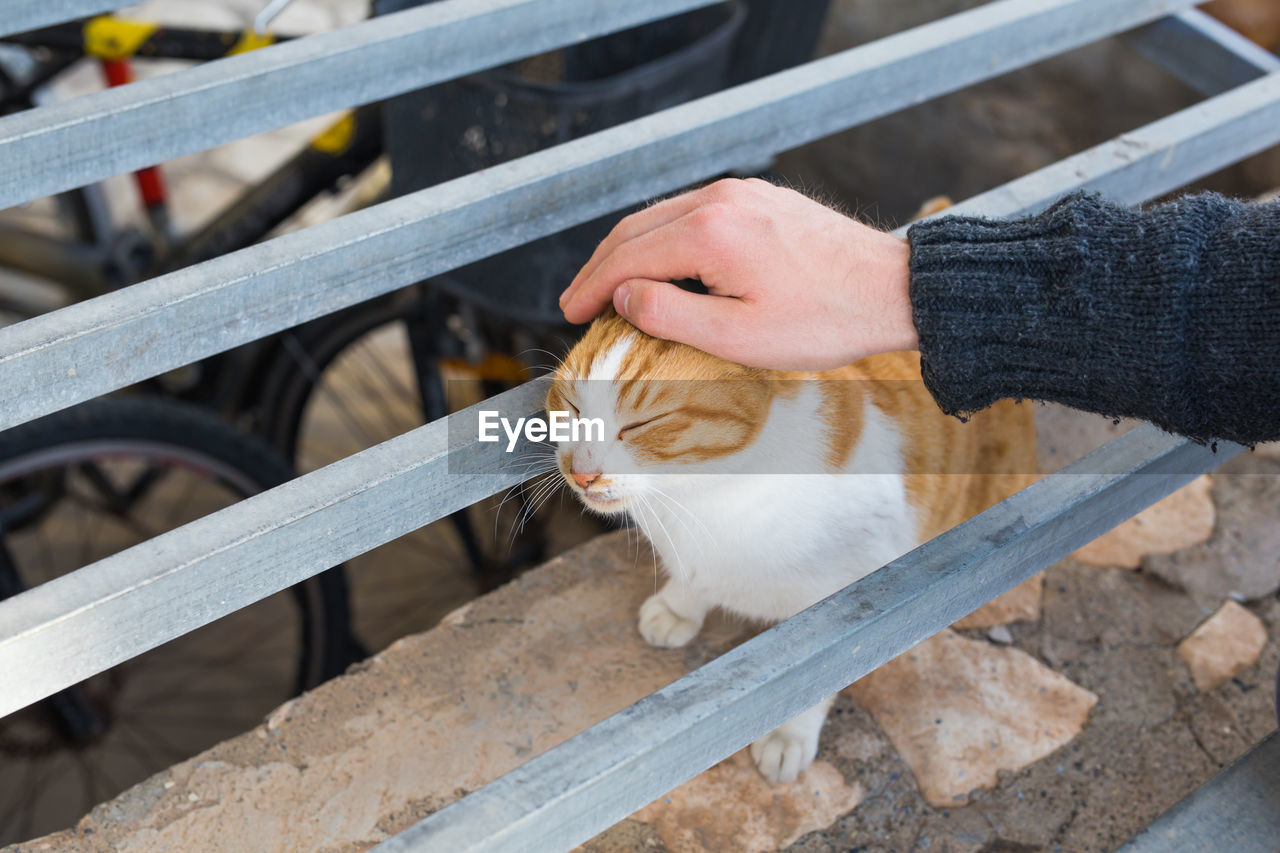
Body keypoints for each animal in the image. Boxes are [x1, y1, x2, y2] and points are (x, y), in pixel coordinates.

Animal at [545, 308, 1034, 778]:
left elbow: (812, 676)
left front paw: (788, 736)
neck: (701, 501)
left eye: (641, 424)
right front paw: (678, 606)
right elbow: (691, 580)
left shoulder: (846, 605)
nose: (581, 472)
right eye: (572, 407)